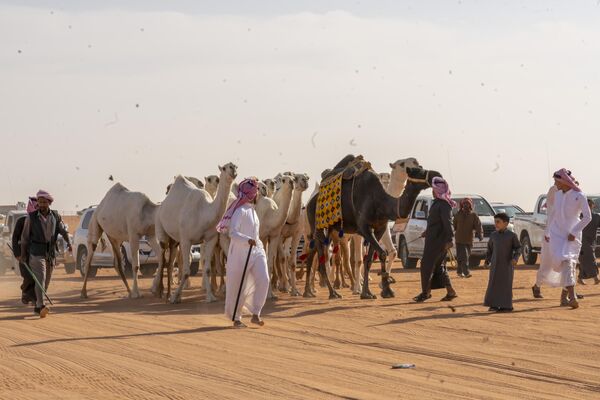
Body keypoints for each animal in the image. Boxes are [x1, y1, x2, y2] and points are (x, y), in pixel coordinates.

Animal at [152, 163, 237, 304]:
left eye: (235, 166)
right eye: (225, 168)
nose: (233, 170)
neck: (204, 213)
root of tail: (162, 204)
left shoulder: (210, 239)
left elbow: (207, 269)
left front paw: (210, 296)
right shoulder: (186, 240)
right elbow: (186, 271)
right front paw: (175, 297)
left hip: (175, 241)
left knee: (169, 264)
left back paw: (168, 293)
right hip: (161, 229)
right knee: (162, 260)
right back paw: (159, 292)